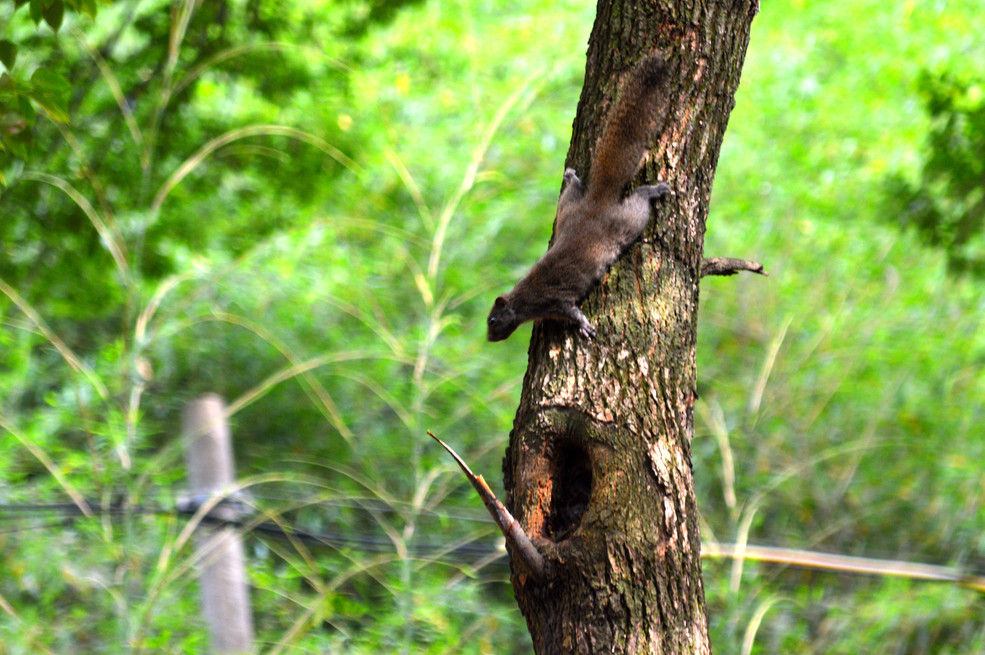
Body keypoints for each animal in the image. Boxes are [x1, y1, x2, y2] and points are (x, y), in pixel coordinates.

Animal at [488, 55, 672, 344]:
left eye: (493, 320)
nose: (489, 338)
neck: (523, 300)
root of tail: (597, 201)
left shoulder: (555, 301)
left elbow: (572, 312)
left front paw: (585, 326)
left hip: (630, 219)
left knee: (640, 200)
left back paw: (654, 190)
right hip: (568, 206)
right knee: (574, 189)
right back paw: (571, 175)